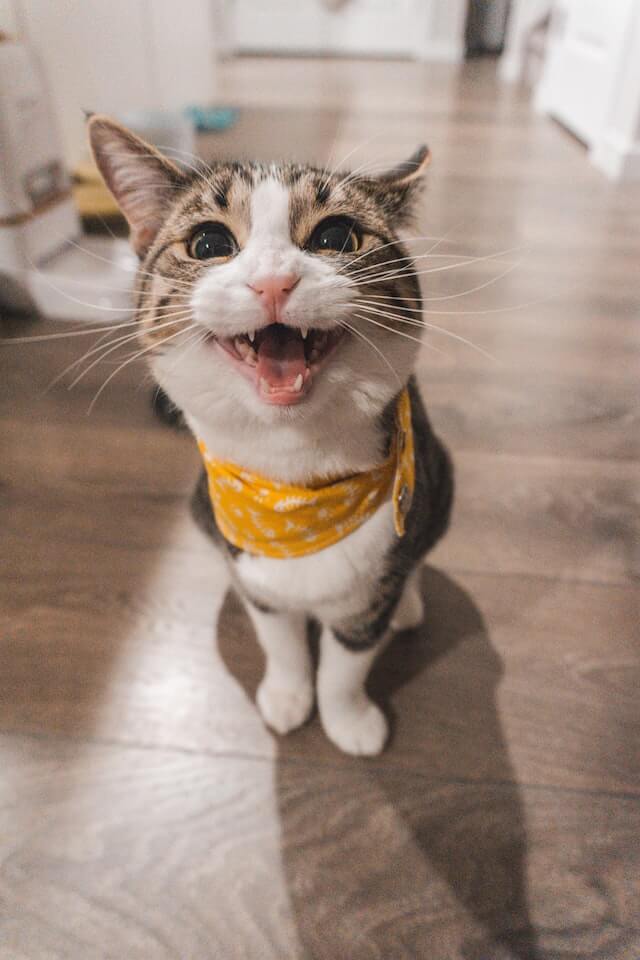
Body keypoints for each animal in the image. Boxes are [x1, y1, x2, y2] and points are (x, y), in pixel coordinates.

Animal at [89, 114, 456, 756]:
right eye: (208, 244)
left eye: (336, 235)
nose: (273, 282)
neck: (294, 484)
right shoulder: (254, 570)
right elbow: (279, 639)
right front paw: (288, 695)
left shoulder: (372, 587)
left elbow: (348, 660)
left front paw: (348, 719)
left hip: (441, 478)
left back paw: (410, 603)